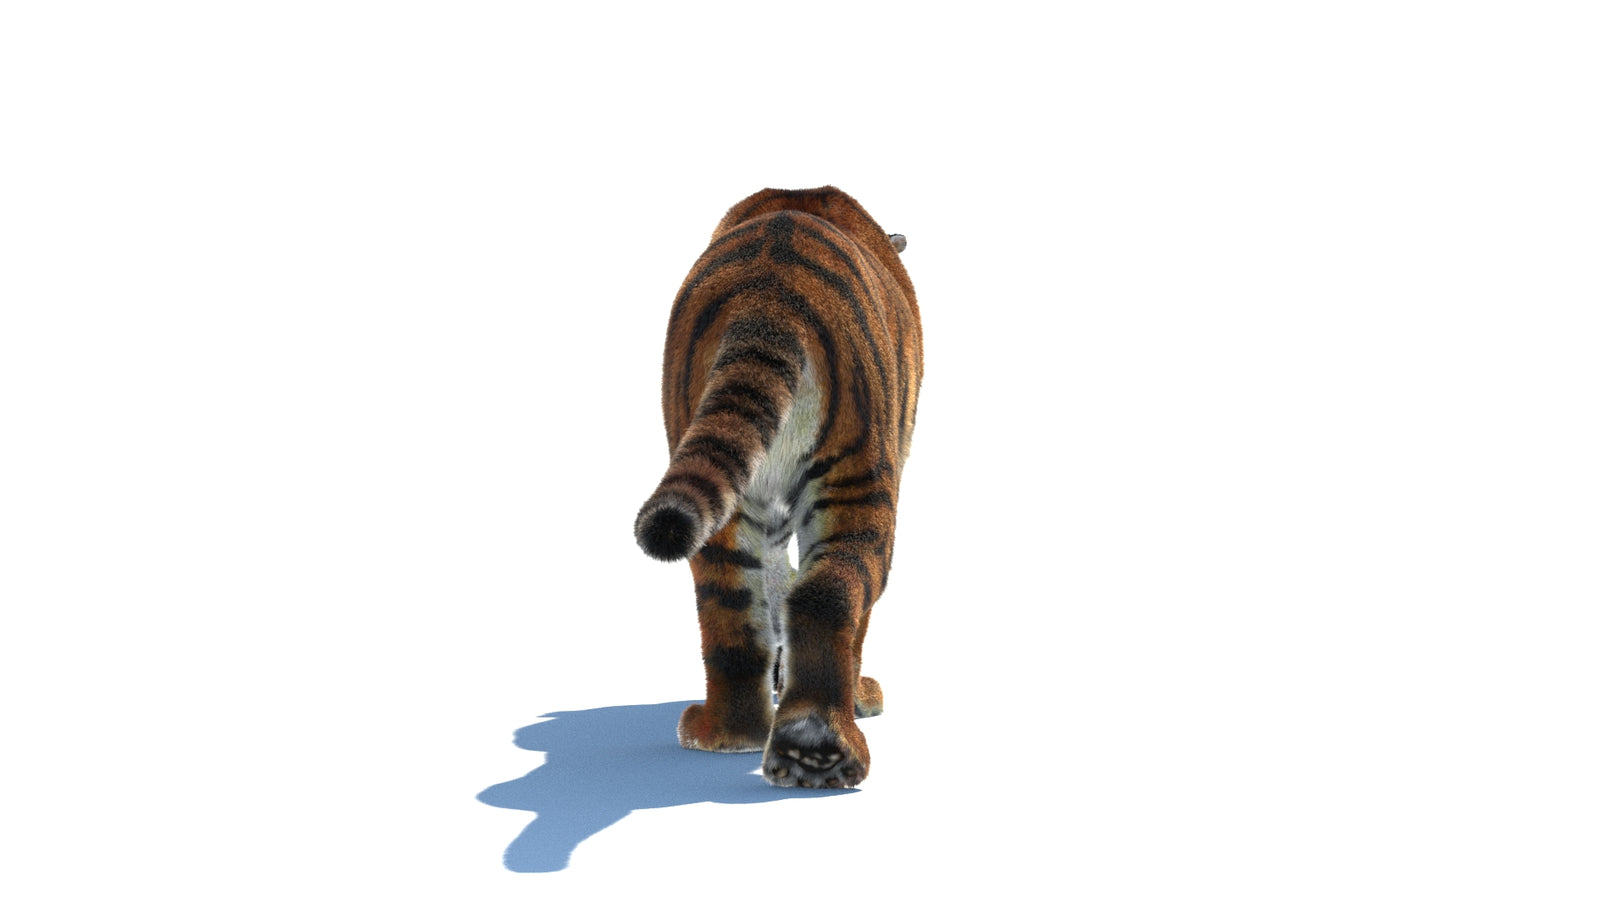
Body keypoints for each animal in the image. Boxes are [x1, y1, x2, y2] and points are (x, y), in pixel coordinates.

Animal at [633, 186, 922, 788]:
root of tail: (770, 288)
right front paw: (858, 698)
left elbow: (773, 589)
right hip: (860, 477)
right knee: (829, 592)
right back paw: (818, 747)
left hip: (717, 490)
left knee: (730, 613)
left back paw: (725, 733)